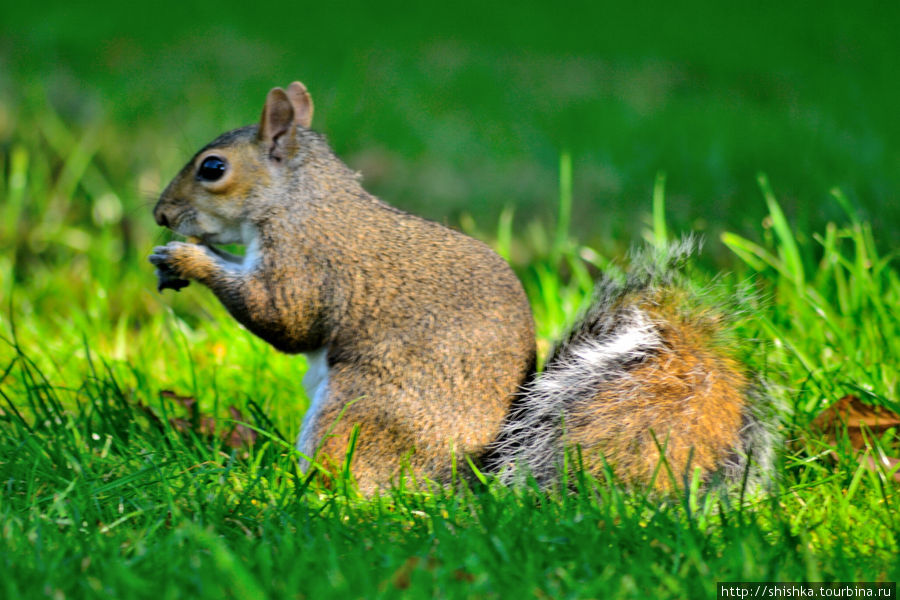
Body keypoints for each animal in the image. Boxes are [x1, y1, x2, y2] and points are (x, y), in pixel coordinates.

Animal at [149, 82, 772, 494]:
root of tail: (470, 475)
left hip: (358, 411)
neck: (301, 199)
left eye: (212, 168)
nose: (160, 215)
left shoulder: (305, 263)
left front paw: (189, 256)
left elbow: (284, 320)